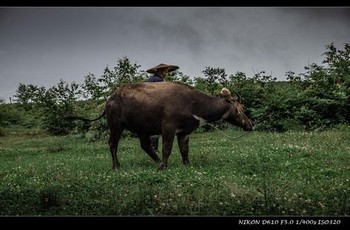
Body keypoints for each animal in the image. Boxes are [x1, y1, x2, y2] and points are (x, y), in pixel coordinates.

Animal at [66, 82, 252, 170]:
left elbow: (184, 151)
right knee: (112, 144)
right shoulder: (168, 128)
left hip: (142, 128)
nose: (250, 125)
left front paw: (186, 165)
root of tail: (110, 99)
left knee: (145, 145)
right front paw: (164, 166)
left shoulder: (184, 132)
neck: (193, 104)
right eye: (242, 108)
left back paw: (155, 162)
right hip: (116, 125)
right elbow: (167, 148)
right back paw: (117, 166)